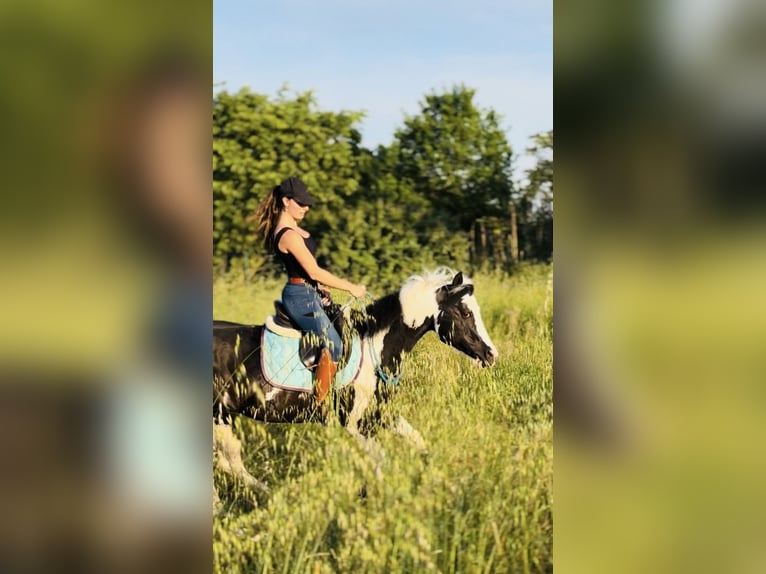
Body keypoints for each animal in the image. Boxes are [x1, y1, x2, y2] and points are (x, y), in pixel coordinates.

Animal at [213, 267, 497, 497]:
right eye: (465, 312)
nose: (491, 354)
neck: (373, 347)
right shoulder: (352, 423)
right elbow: (381, 460)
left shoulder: (381, 414)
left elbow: (419, 443)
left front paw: (444, 483)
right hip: (219, 417)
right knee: (231, 463)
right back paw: (268, 495)